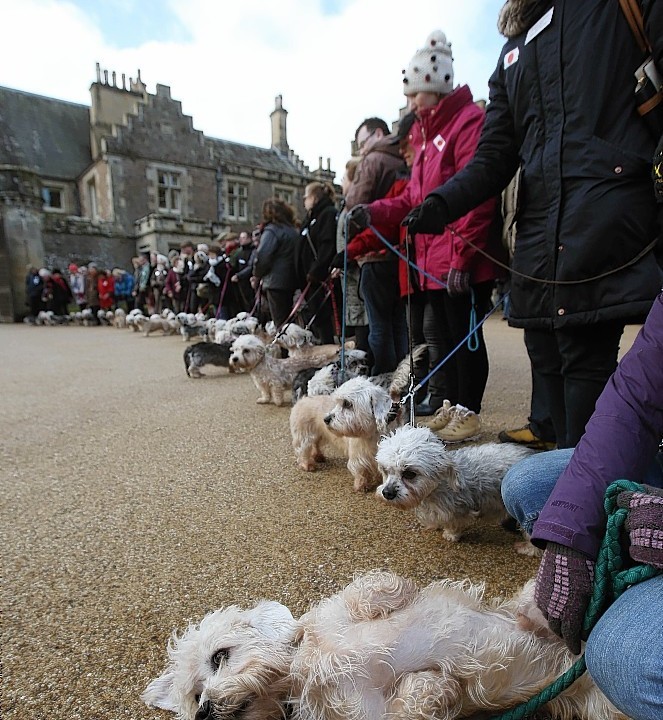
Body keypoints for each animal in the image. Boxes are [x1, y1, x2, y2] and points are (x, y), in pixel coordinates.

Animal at [143, 572, 624, 720]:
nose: (205, 710)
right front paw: (436, 686)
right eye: (194, 696)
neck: (305, 671)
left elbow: (370, 588)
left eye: (219, 656)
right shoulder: (367, 714)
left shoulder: (335, 615)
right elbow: (414, 700)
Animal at [376, 422, 536, 540]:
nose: (387, 493)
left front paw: (450, 535)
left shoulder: (458, 511)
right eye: (385, 470)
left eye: (409, 474)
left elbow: (454, 524)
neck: (437, 488)